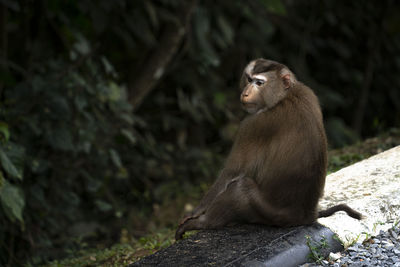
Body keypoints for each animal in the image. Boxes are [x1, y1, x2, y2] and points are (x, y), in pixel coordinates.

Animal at [175, 58, 362, 241]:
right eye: (249, 79)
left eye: (259, 82)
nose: (245, 93)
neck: (285, 95)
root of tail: (306, 216)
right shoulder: (308, 92)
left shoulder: (254, 124)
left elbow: (232, 172)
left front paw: (195, 213)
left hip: (266, 212)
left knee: (240, 188)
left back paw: (204, 223)